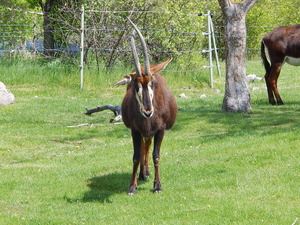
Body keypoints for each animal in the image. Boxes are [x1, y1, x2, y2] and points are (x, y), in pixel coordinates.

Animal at [113, 18, 177, 195]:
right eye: (136, 85)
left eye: (152, 83)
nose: (147, 112)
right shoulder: (135, 129)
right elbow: (136, 155)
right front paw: (132, 186)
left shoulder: (160, 130)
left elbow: (156, 155)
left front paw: (157, 185)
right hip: (142, 131)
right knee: (143, 147)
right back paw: (142, 173)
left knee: (147, 146)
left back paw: (146, 172)